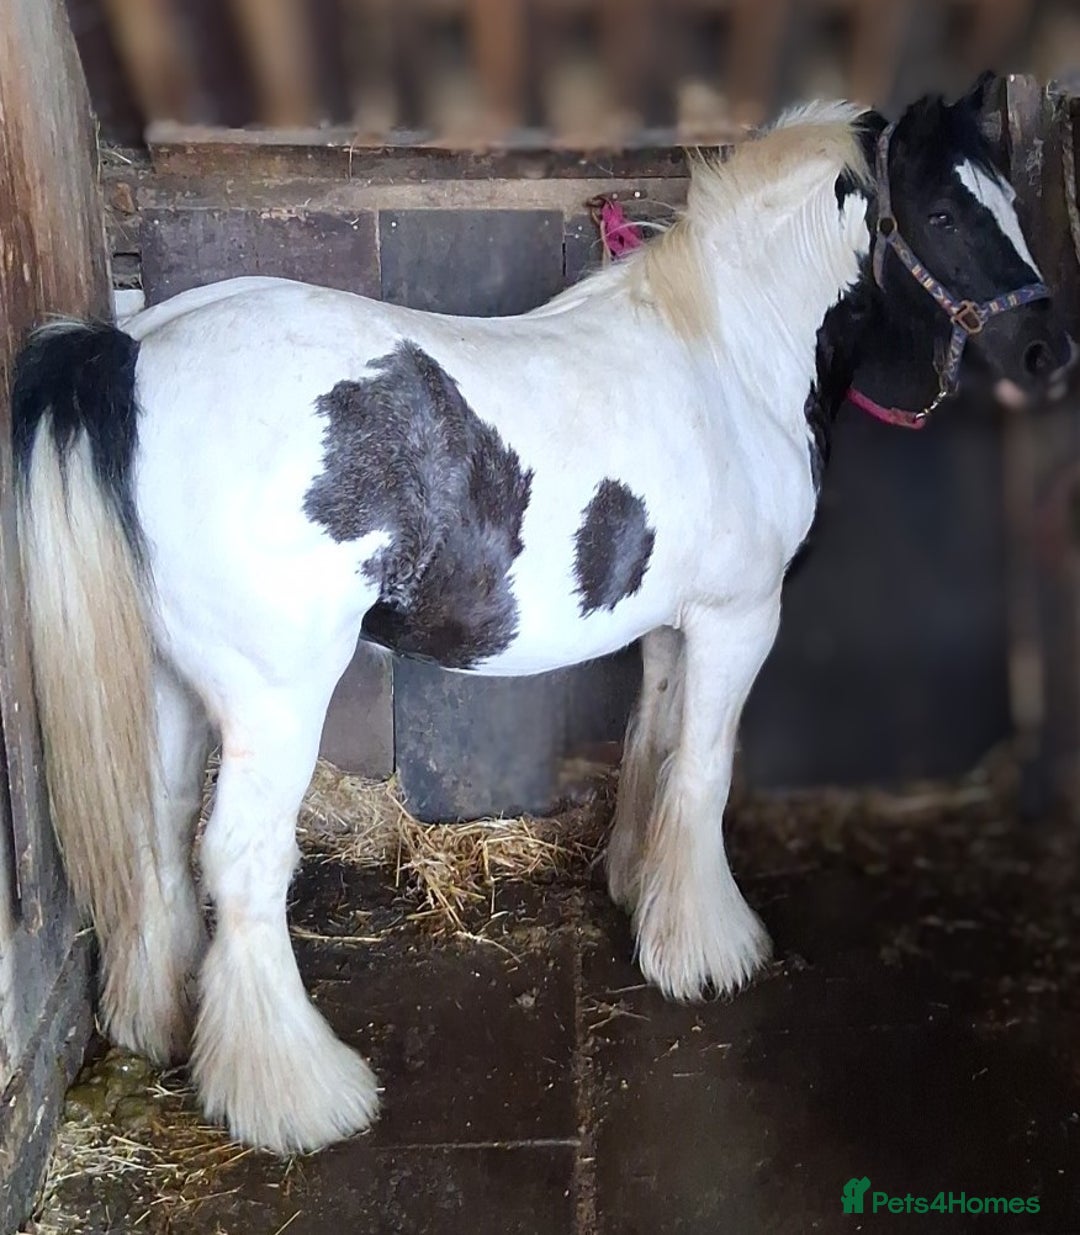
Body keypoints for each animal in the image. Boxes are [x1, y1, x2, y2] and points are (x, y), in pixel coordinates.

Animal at [11, 76, 1074, 1155]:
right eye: (943, 214)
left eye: (1006, 198)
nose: (1048, 350)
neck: (726, 357)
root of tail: (128, 354)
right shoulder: (740, 618)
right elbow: (706, 769)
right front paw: (710, 950)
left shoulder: (671, 625)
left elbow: (656, 748)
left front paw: (642, 891)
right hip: (273, 700)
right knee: (239, 860)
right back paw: (299, 1095)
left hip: (174, 685)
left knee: (157, 829)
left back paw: (164, 1014)